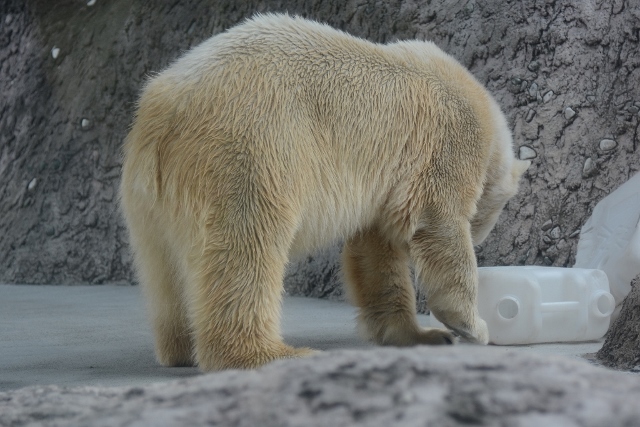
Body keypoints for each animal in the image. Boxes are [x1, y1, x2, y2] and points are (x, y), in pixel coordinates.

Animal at [120, 13, 528, 372]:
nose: (481, 237)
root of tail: (165, 111)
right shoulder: (447, 144)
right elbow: (438, 224)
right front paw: (469, 327)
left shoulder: (385, 185)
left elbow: (375, 251)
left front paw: (418, 334)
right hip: (251, 149)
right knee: (248, 244)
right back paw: (271, 354)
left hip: (146, 195)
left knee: (162, 268)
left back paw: (179, 348)